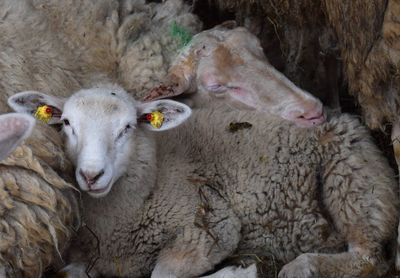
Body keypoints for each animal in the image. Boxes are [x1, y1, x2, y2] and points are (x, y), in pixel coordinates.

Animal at [10, 82, 400, 278]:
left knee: (368, 257)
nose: (92, 175)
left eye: (127, 127)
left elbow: (163, 275)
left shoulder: (209, 225)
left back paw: (300, 267)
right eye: (67, 124)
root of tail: (345, 120)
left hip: (351, 183)